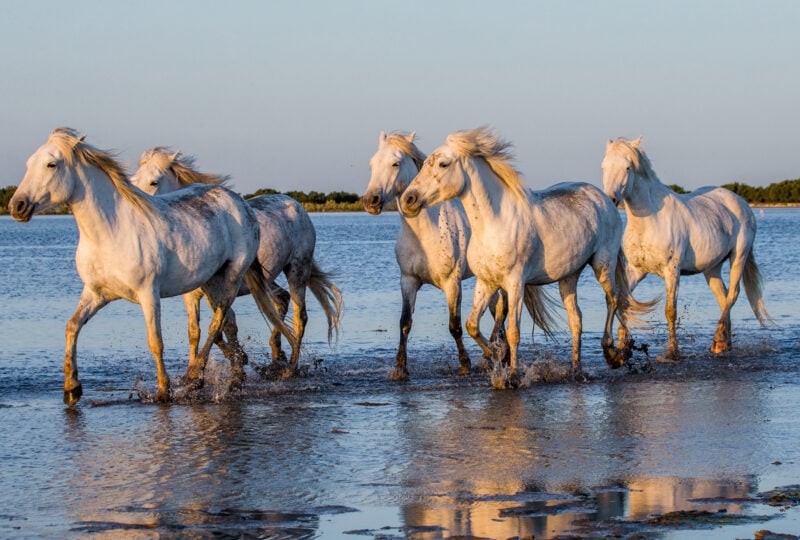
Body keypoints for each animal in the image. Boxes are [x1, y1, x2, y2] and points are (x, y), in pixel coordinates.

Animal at [7, 129, 278, 402]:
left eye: (51, 164)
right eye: (29, 163)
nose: (17, 206)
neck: (110, 233)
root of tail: (240, 202)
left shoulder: (148, 294)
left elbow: (155, 341)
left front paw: (163, 390)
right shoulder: (96, 293)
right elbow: (72, 327)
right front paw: (72, 388)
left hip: (233, 273)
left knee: (219, 318)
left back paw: (195, 375)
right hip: (211, 279)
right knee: (226, 321)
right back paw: (232, 378)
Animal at [130, 150, 340, 374]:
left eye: (154, 182)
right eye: (133, 180)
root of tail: (295, 205)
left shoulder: (219, 290)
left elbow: (224, 326)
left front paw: (236, 363)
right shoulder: (191, 296)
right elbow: (197, 332)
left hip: (297, 269)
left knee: (300, 316)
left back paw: (290, 368)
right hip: (266, 279)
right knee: (281, 299)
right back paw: (277, 354)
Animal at [400, 126, 648, 376]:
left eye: (443, 164)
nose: (408, 199)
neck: (493, 224)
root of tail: (605, 197)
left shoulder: (515, 282)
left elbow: (513, 332)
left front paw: (511, 375)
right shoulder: (486, 282)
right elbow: (472, 325)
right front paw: (497, 356)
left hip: (603, 264)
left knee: (613, 299)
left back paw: (613, 354)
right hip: (569, 276)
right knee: (576, 319)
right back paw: (576, 369)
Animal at [600, 138, 768, 358]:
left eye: (627, 167)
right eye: (603, 166)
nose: (611, 199)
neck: (650, 220)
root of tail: (741, 202)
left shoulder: (672, 271)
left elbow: (670, 311)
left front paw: (672, 352)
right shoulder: (636, 271)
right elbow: (624, 302)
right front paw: (621, 347)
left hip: (739, 256)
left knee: (733, 293)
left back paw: (717, 340)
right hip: (712, 268)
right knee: (723, 298)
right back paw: (724, 343)